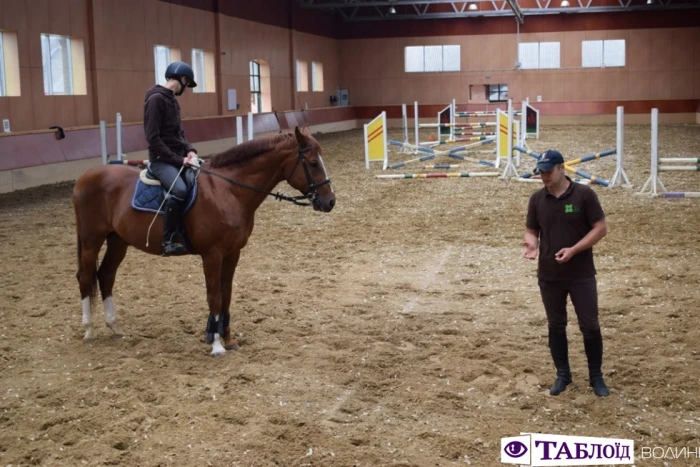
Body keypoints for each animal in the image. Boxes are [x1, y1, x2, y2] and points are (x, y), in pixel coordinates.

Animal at [72, 126, 334, 356]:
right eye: (312, 162)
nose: (330, 201)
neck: (228, 191)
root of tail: (84, 177)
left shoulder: (232, 253)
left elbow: (226, 294)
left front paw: (228, 339)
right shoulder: (212, 254)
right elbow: (214, 296)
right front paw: (217, 345)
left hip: (118, 241)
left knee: (106, 275)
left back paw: (115, 327)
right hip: (91, 240)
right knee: (85, 277)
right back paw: (88, 330)